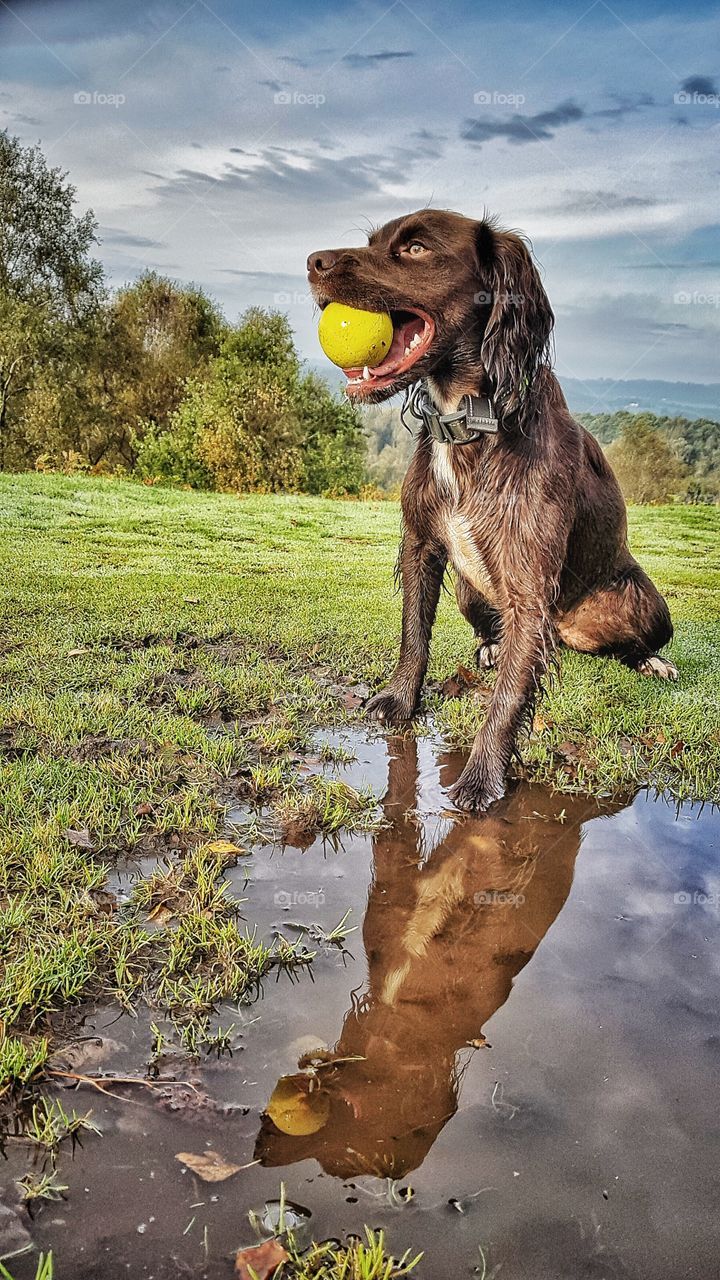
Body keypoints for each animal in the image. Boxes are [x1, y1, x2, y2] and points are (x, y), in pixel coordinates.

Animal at [304, 208, 676, 808]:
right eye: (374, 241)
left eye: (415, 248)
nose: (313, 261)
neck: (468, 422)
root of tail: (565, 631)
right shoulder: (421, 545)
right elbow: (414, 636)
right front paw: (401, 701)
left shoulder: (528, 584)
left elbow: (508, 696)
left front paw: (482, 775)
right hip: (468, 589)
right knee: (499, 637)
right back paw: (491, 649)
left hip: (641, 601)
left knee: (622, 644)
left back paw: (650, 661)